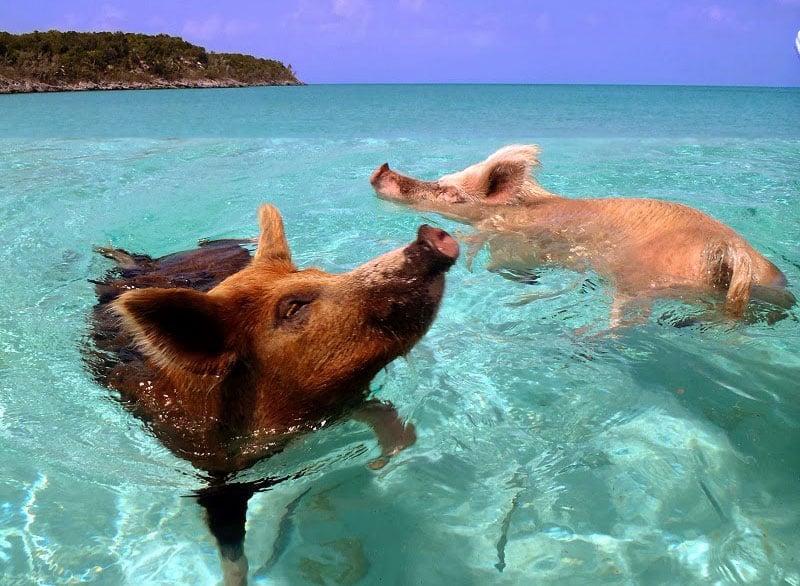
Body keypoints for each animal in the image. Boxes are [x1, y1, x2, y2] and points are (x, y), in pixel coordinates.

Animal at [84, 203, 460, 580]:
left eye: (320, 273)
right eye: (294, 307)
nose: (432, 236)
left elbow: (388, 422)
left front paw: (382, 460)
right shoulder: (214, 475)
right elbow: (231, 549)